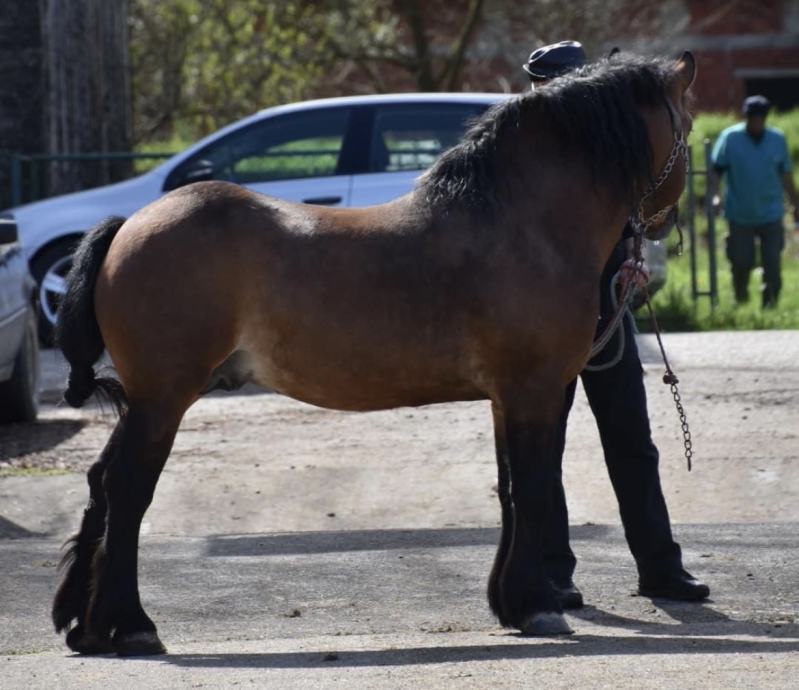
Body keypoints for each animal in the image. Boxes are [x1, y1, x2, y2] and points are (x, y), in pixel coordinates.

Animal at [51, 51, 696, 656]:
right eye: (687, 125)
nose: (667, 223)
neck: (520, 223)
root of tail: (129, 224)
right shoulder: (535, 391)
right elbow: (535, 489)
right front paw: (537, 606)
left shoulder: (504, 398)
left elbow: (511, 490)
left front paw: (509, 603)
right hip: (164, 399)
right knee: (128, 490)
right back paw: (133, 626)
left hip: (146, 402)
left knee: (101, 482)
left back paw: (88, 627)